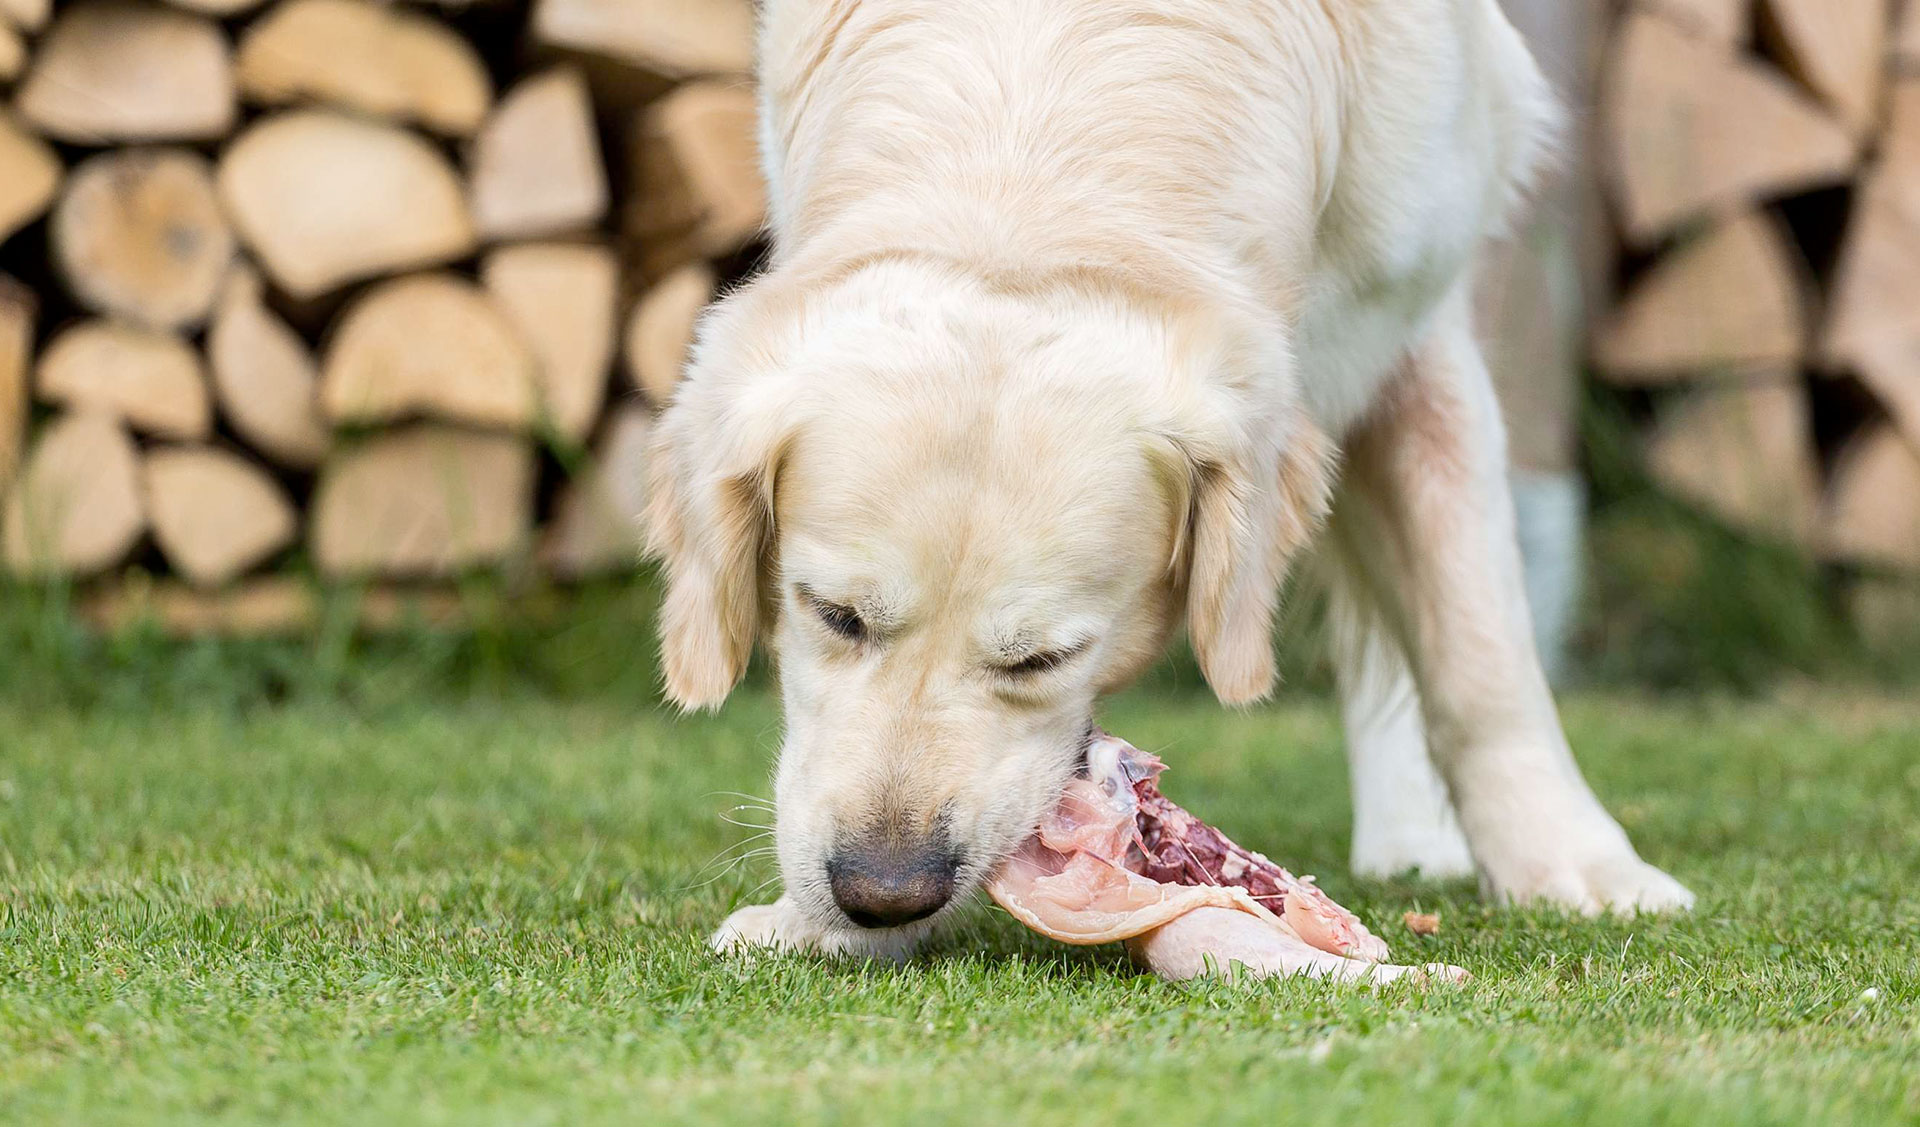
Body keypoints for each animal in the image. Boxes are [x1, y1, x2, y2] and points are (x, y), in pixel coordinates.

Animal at [648, 0, 1697, 959]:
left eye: (1044, 658)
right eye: (833, 615)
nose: (882, 891)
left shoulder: (1410, 318)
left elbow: (1477, 646)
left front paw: (1574, 861)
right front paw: (809, 921)